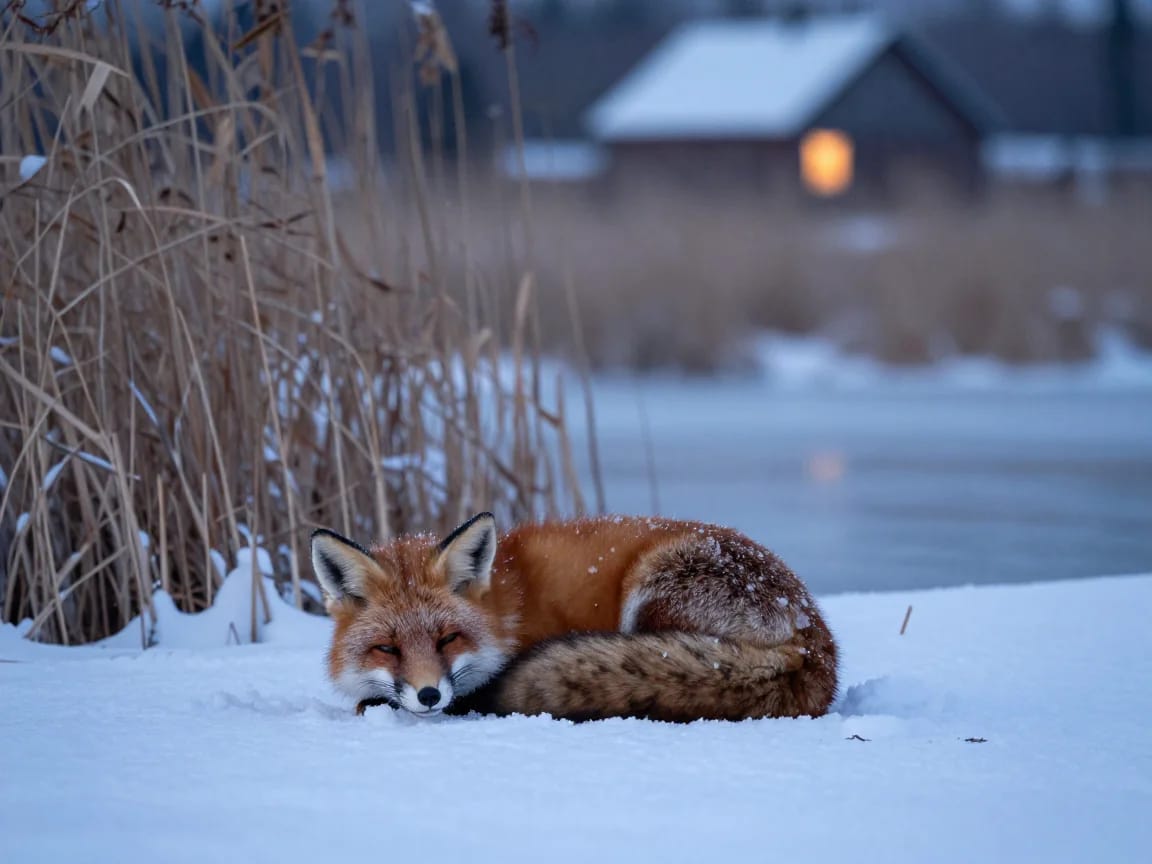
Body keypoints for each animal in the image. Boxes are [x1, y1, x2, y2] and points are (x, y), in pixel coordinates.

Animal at [310, 512, 838, 723]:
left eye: (448, 639)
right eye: (388, 648)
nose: (428, 696)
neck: (508, 611)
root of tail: (815, 642)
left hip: (655, 590)